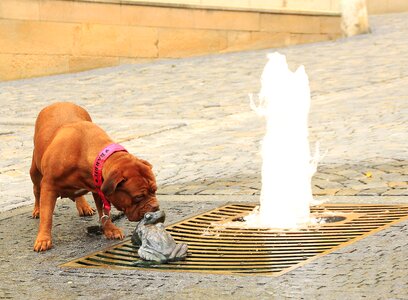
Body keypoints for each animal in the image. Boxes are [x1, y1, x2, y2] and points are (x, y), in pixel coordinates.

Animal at [29, 102, 159, 252]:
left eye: (155, 190)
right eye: (138, 196)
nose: (156, 206)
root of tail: (58, 102)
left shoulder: (99, 188)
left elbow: (104, 213)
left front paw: (110, 229)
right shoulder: (49, 186)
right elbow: (47, 216)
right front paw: (43, 239)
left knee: (77, 194)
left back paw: (83, 205)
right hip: (35, 172)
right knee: (36, 190)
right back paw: (37, 209)